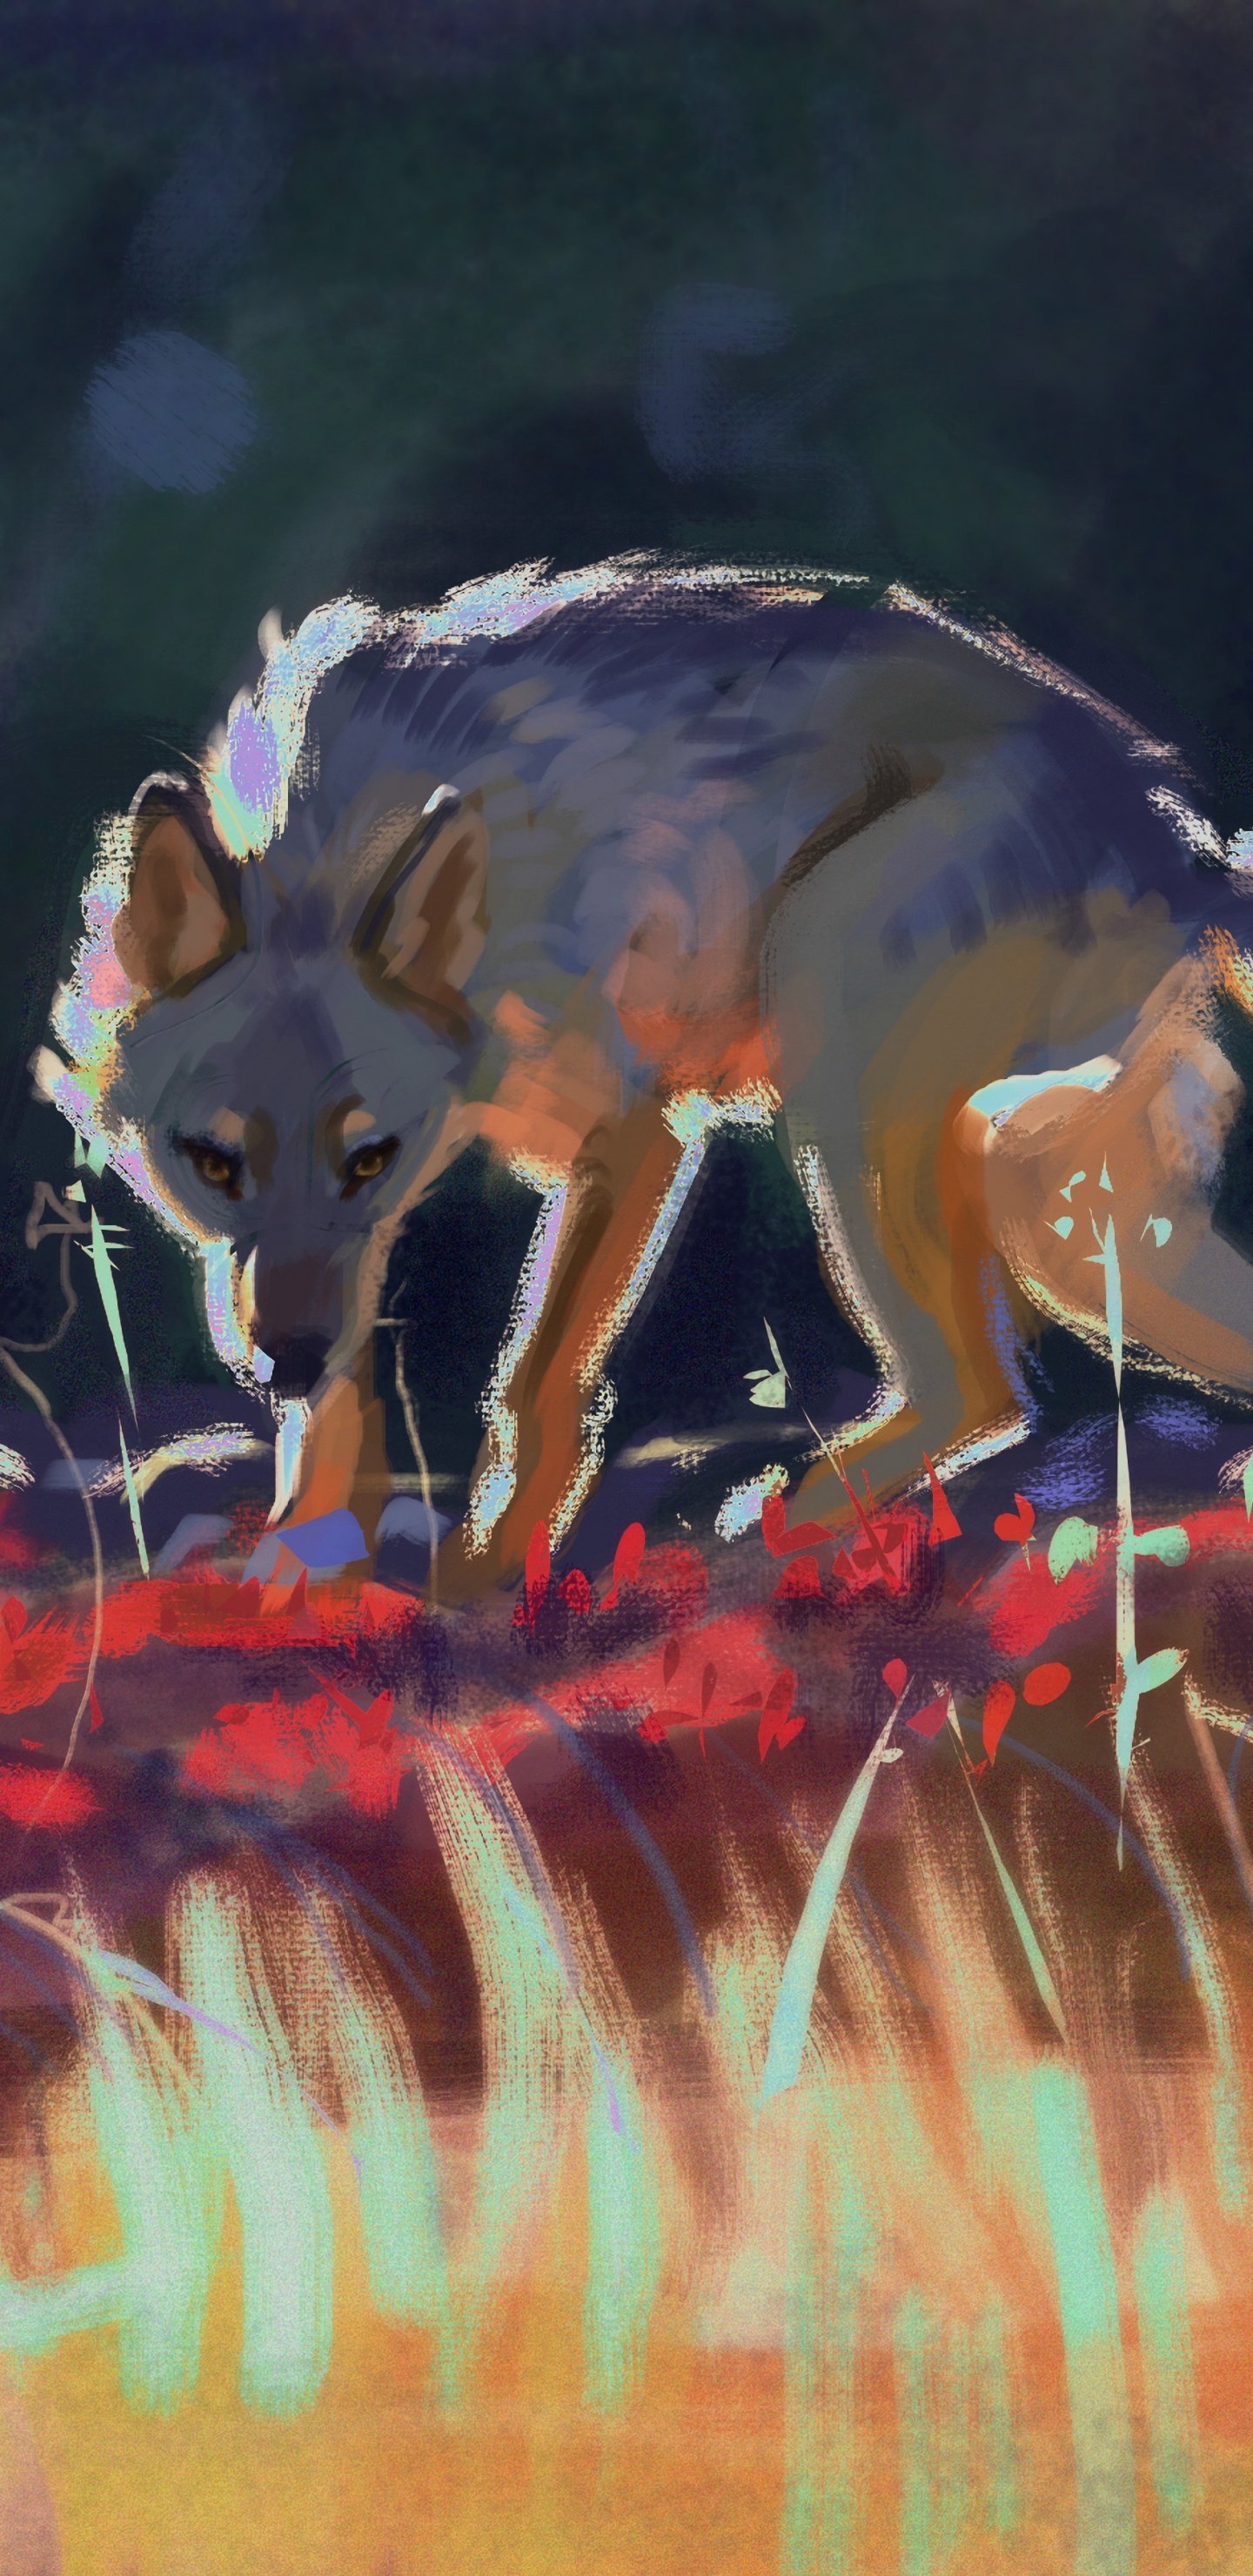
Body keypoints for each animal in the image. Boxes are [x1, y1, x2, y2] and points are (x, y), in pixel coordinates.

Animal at [35, 556, 1253, 1596]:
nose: (278, 1362)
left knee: (979, 1382)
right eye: (211, 1162)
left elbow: (533, 1383)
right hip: (1062, 1214)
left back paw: (789, 1516)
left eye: (367, 1154)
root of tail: (1183, 836)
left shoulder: (634, 1131)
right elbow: (343, 1396)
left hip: (850, 1068)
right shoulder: (356, 1245)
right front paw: (308, 1557)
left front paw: (487, 1572)